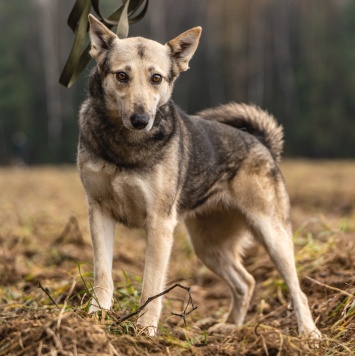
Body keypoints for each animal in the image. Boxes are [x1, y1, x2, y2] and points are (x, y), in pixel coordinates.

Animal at [78, 13, 322, 336]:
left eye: (156, 78)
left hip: (273, 235)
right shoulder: (99, 213)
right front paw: (94, 321)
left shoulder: (159, 225)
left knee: (297, 289)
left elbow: (151, 286)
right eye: (121, 76)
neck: (125, 144)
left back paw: (308, 333)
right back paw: (229, 327)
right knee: (246, 282)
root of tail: (262, 142)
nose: (141, 120)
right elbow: (103, 275)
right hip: (208, 246)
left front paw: (144, 332)